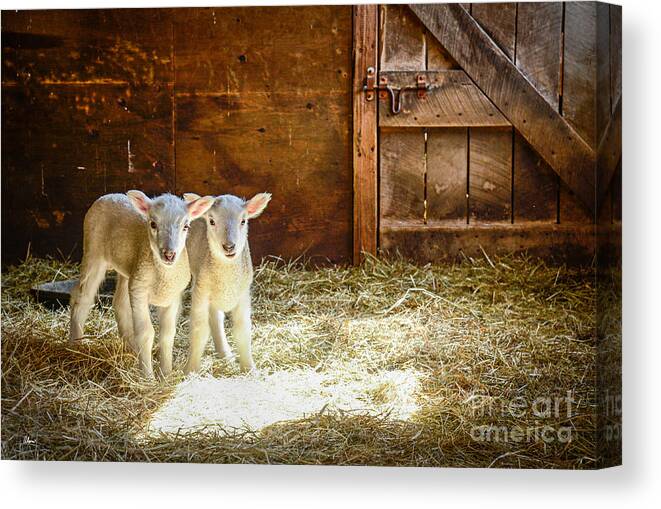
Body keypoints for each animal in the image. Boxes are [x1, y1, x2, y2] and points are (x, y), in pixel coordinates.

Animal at [180, 190, 270, 374]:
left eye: (243, 221)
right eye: (211, 221)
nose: (229, 247)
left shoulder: (243, 294)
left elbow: (242, 330)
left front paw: (249, 368)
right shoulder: (201, 291)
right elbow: (199, 330)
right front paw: (190, 369)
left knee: (216, 317)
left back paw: (224, 353)